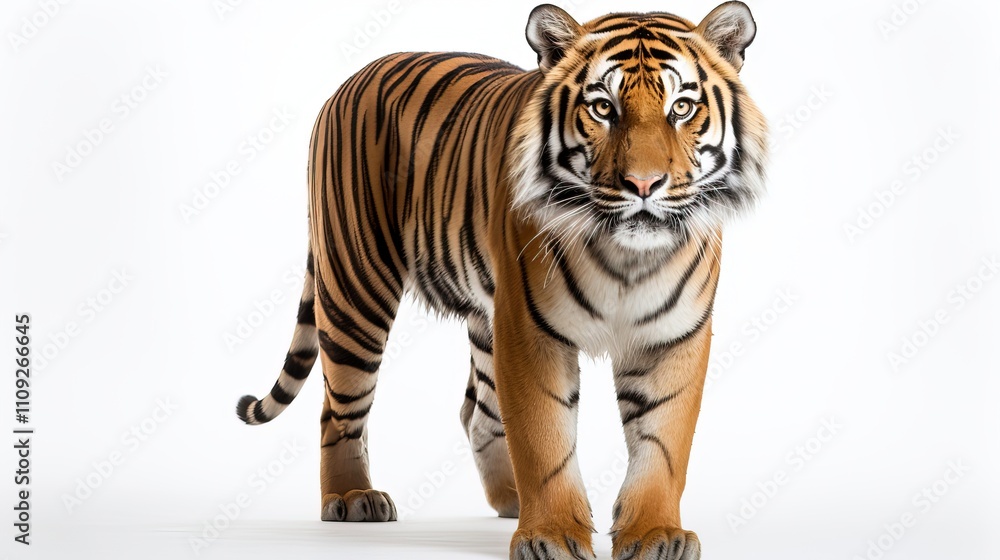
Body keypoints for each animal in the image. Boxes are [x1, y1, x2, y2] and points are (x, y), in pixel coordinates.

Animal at [236, 2, 767, 559]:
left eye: (681, 108)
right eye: (603, 108)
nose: (643, 185)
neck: (627, 256)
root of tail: (350, 80)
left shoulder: (673, 336)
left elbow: (663, 446)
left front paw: (655, 535)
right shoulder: (532, 331)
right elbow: (544, 438)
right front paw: (551, 535)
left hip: (484, 320)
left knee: (476, 412)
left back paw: (510, 497)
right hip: (356, 287)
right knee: (339, 408)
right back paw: (351, 497)